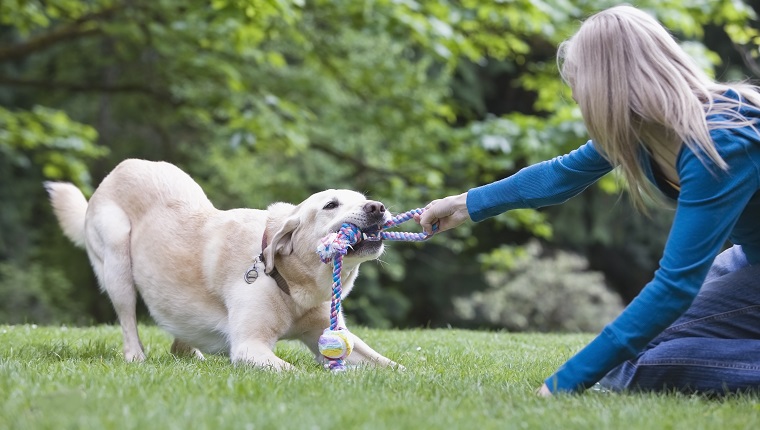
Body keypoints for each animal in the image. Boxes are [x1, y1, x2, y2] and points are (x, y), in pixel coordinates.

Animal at [43, 158, 398, 370]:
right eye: (330, 205)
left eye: (362, 198)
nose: (378, 207)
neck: (290, 281)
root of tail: (118, 169)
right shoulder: (249, 346)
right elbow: (295, 372)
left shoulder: (330, 332)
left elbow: (389, 364)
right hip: (118, 261)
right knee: (128, 321)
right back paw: (137, 357)